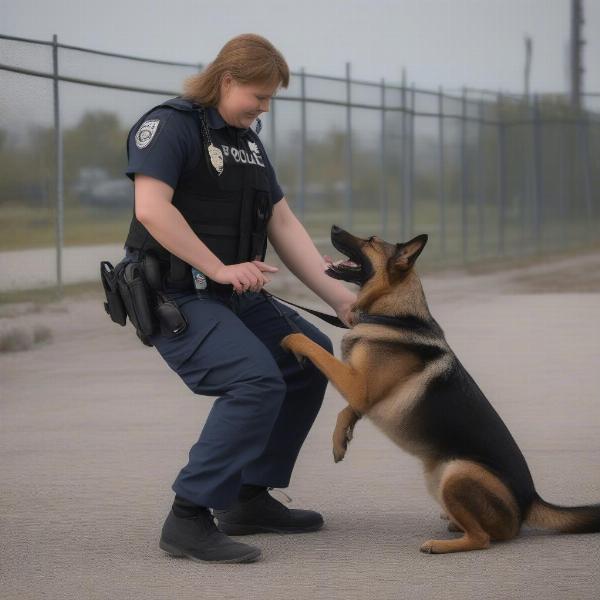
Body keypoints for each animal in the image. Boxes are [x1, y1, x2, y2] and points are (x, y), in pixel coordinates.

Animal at [282, 227, 600, 556]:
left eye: (371, 241)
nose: (333, 228)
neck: (395, 315)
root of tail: (530, 500)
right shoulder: (361, 393)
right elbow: (347, 411)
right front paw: (340, 439)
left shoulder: (357, 385)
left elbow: (307, 343)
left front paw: (287, 340)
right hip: (439, 479)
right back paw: (451, 523)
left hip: (457, 473)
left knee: (484, 538)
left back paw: (440, 545)